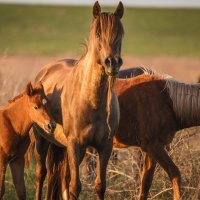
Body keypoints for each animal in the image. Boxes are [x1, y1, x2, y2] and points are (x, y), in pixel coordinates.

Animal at [29, 1, 123, 200]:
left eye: (120, 33)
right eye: (98, 33)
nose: (112, 62)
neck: (92, 101)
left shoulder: (105, 146)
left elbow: (100, 185)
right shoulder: (75, 144)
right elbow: (75, 187)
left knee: (62, 176)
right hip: (43, 141)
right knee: (41, 174)